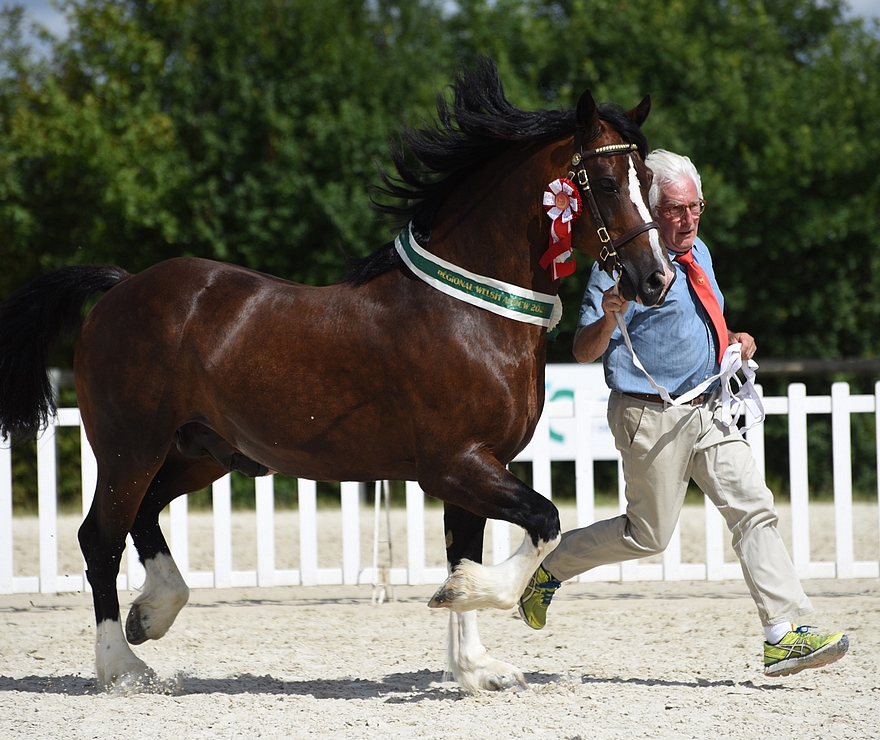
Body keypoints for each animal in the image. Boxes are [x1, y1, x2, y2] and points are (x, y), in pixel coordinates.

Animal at [1, 57, 672, 692]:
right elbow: (544, 524)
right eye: (606, 182)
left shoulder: (479, 469)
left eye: (648, 180)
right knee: (100, 538)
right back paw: (123, 667)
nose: (656, 279)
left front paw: (477, 667)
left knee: (142, 516)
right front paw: (465, 603)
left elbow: (467, 552)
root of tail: (120, 288)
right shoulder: (455, 465)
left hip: (202, 452)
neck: (470, 314)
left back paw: (152, 613)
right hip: (129, 447)